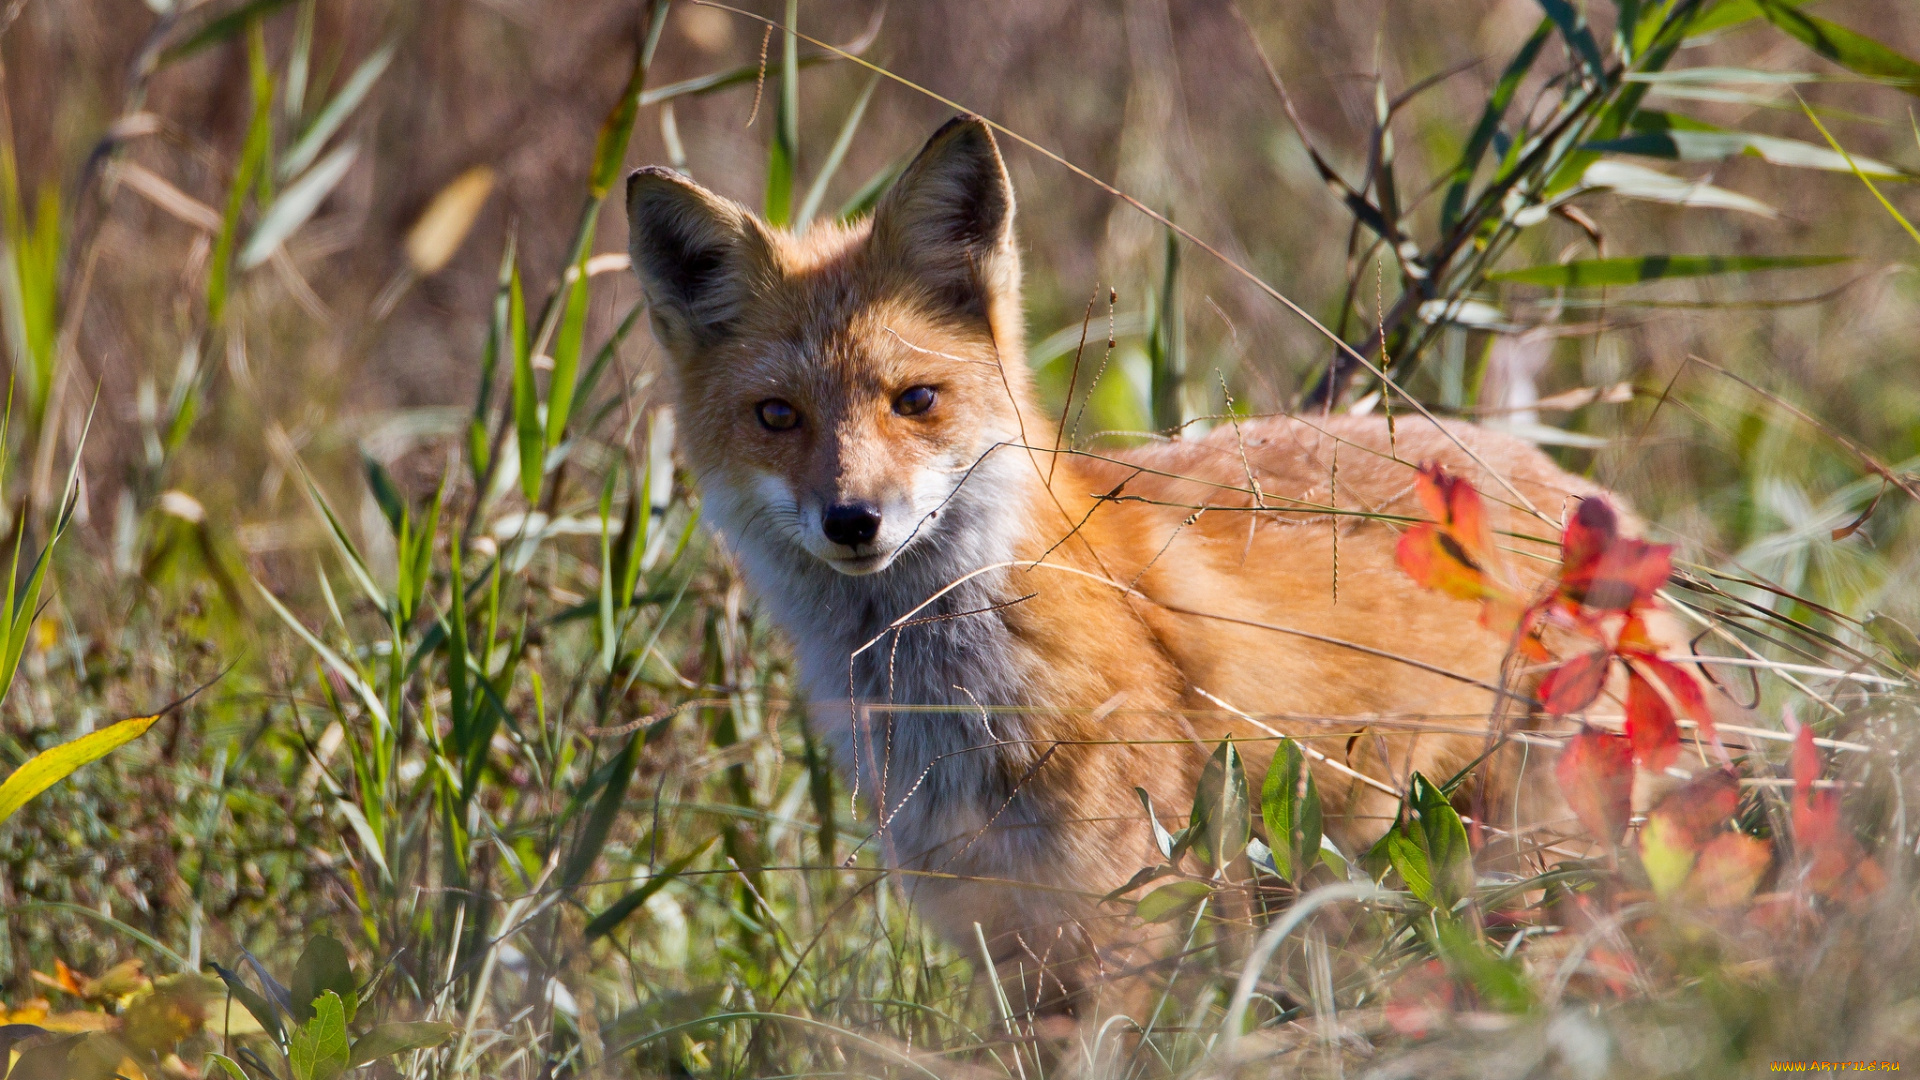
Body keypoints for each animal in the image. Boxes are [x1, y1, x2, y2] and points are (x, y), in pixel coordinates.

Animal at [625, 115, 1666, 1014]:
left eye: (914, 399)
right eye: (776, 416)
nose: (853, 520)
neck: (946, 702)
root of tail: (1577, 487)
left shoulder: (1122, 923)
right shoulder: (1000, 936)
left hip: (1539, 866)